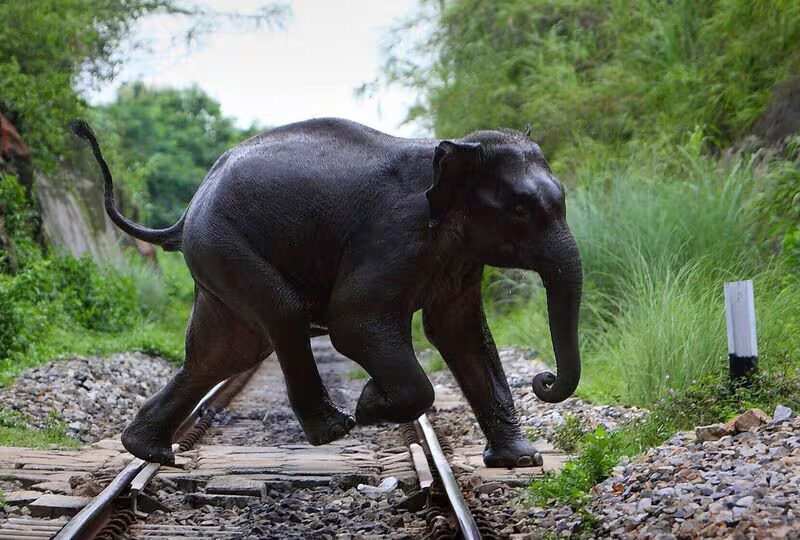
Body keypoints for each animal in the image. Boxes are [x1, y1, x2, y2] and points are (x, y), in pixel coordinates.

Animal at [70, 117, 582, 468]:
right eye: (520, 210)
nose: (544, 381)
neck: (456, 150)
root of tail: (184, 216)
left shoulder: (459, 255)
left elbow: (460, 332)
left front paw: (521, 461)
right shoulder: (394, 233)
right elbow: (353, 322)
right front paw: (371, 404)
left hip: (217, 257)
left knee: (226, 353)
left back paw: (148, 452)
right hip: (227, 245)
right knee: (281, 316)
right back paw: (337, 427)